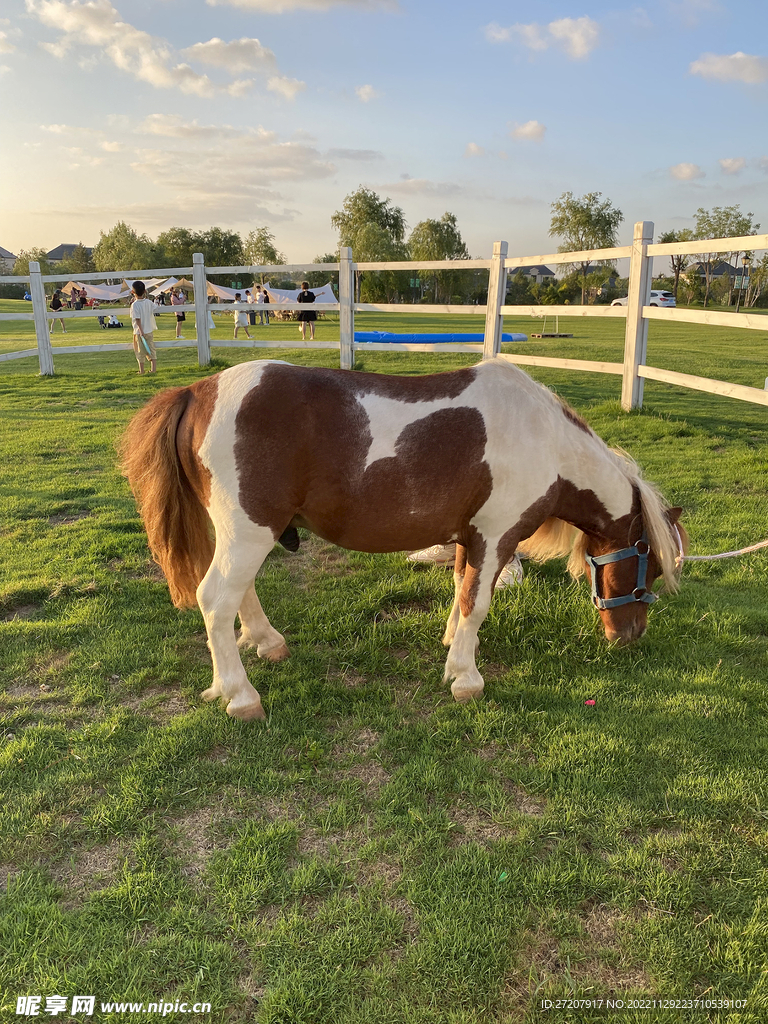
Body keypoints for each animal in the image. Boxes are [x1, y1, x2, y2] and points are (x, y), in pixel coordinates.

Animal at [123, 358, 688, 720]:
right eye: (651, 564)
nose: (630, 636)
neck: (542, 437)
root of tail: (197, 392)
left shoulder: (468, 536)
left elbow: (461, 592)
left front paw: (452, 647)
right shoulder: (496, 536)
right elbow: (477, 602)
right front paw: (466, 677)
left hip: (244, 533)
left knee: (239, 594)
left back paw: (265, 645)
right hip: (248, 531)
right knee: (216, 600)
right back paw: (240, 696)